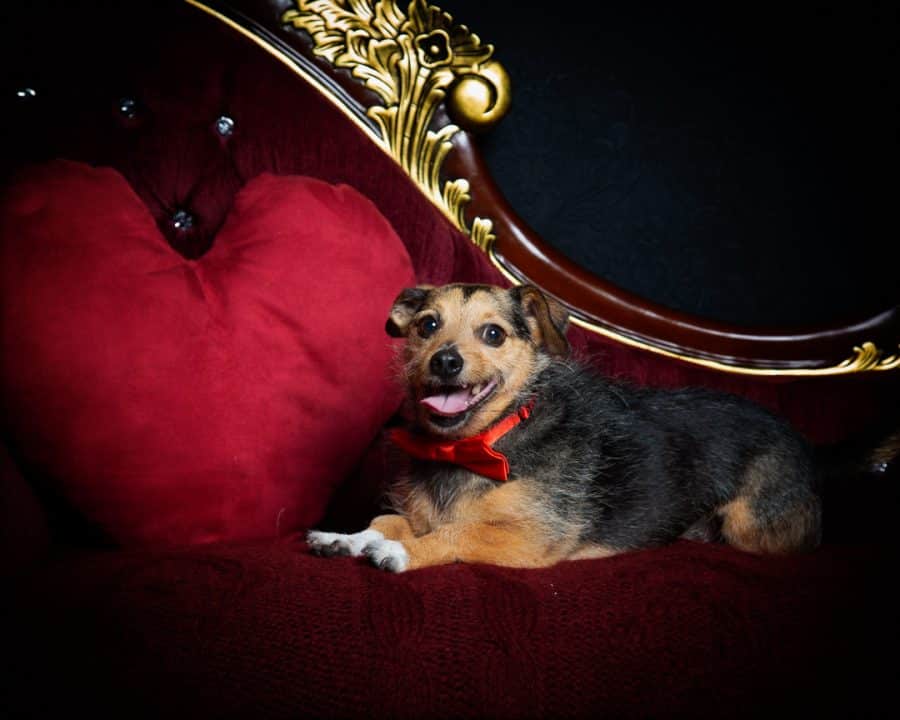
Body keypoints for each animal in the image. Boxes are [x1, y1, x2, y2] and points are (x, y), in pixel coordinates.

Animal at [310, 284, 824, 572]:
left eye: (493, 334)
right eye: (427, 326)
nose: (445, 360)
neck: (479, 442)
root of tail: (803, 443)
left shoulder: (532, 537)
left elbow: (458, 534)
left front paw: (400, 553)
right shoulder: (417, 515)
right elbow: (386, 521)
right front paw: (346, 538)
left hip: (750, 527)